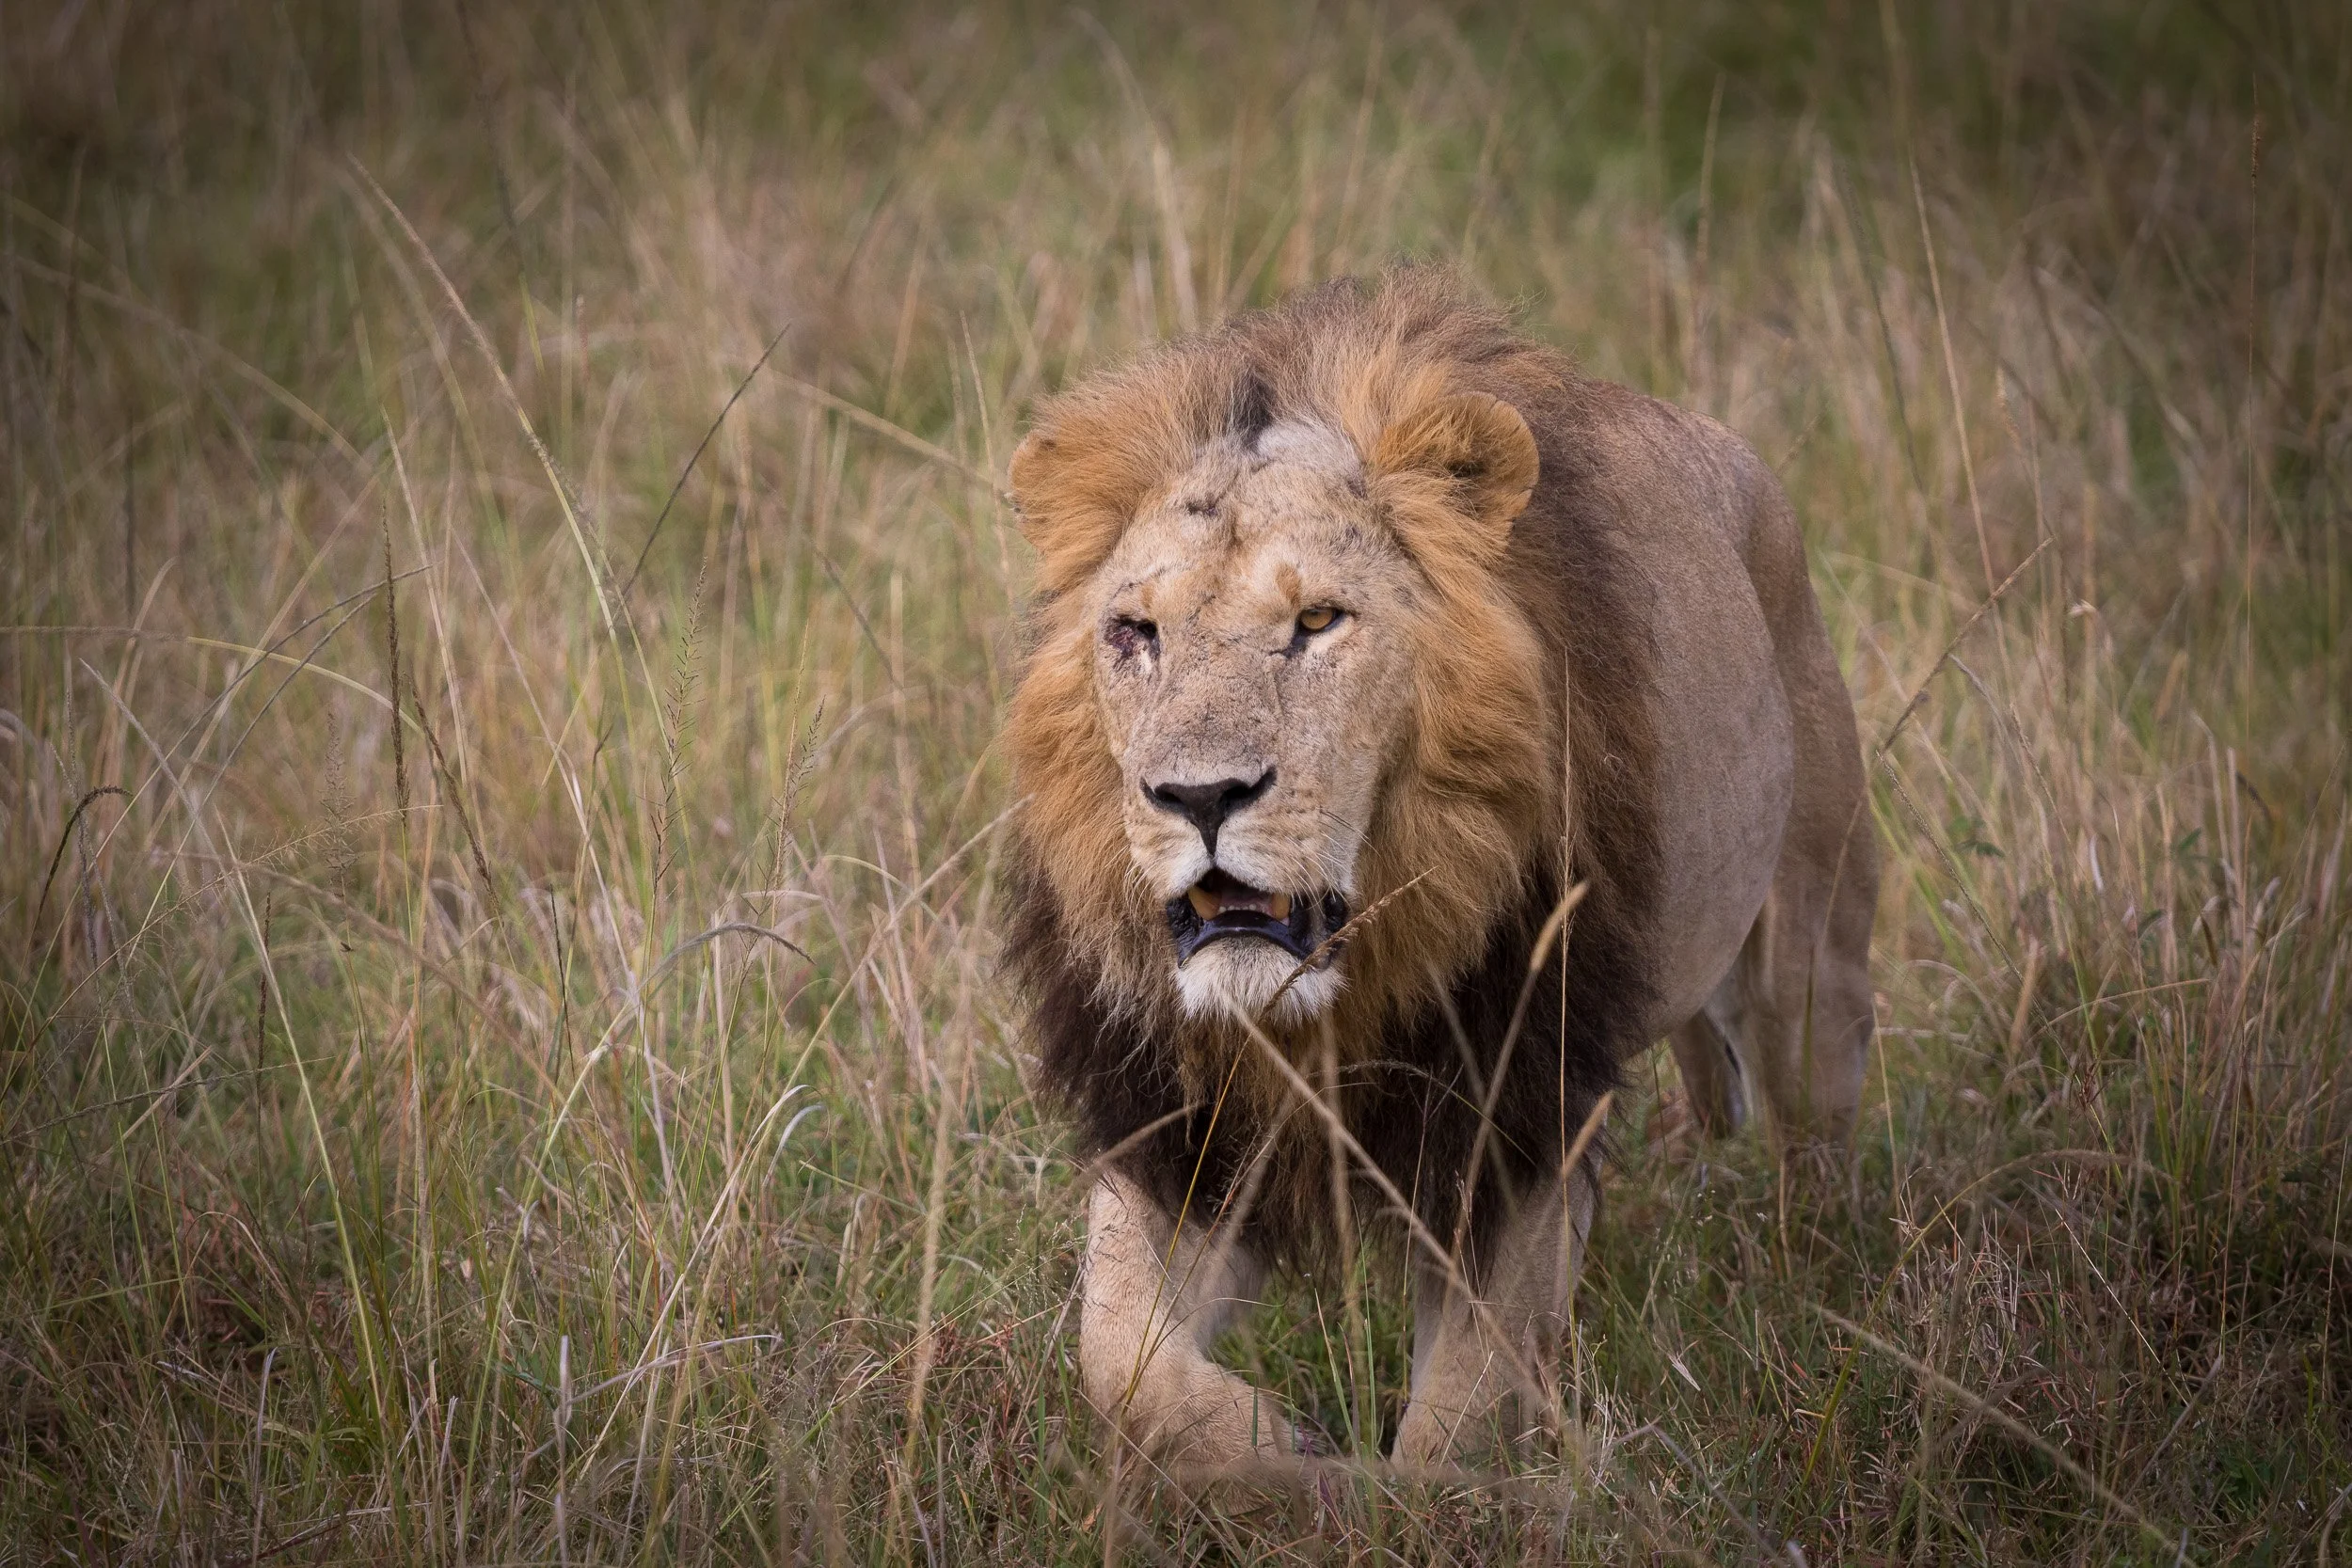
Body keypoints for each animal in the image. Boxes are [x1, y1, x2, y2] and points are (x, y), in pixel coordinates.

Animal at [1000, 268, 1877, 1472]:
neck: (1324, 1006)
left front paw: (1393, 1485)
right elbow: (1120, 1361)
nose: (1200, 796)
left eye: (1318, 620)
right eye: (1135, 631)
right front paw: (1278, 1451)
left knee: (1816, 1138)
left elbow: (1451, 1431)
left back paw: (1816, 1298)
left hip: (1806, 958)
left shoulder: (1514, 1119)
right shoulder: (1179, 1127)